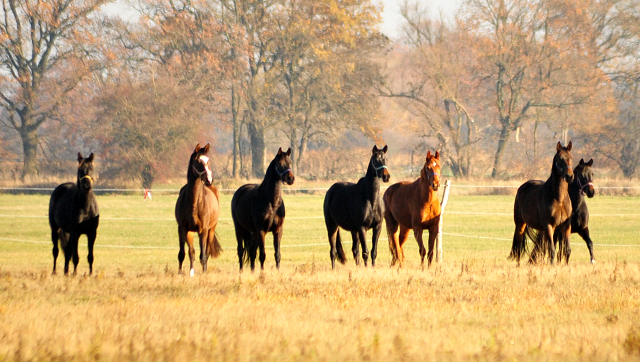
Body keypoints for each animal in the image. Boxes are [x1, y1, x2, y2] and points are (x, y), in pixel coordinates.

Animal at [175, 143, 222, 276]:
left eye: (208, 160)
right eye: (198, 161)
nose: (209, 179)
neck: (194, 203)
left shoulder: (203, 230)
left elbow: (203, 255)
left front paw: (204, 272)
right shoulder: (183, 228)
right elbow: (184, 253)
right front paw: (182, 272)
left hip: (211, 230)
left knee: (207, 250)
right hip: (190, 232)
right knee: (191, 252)